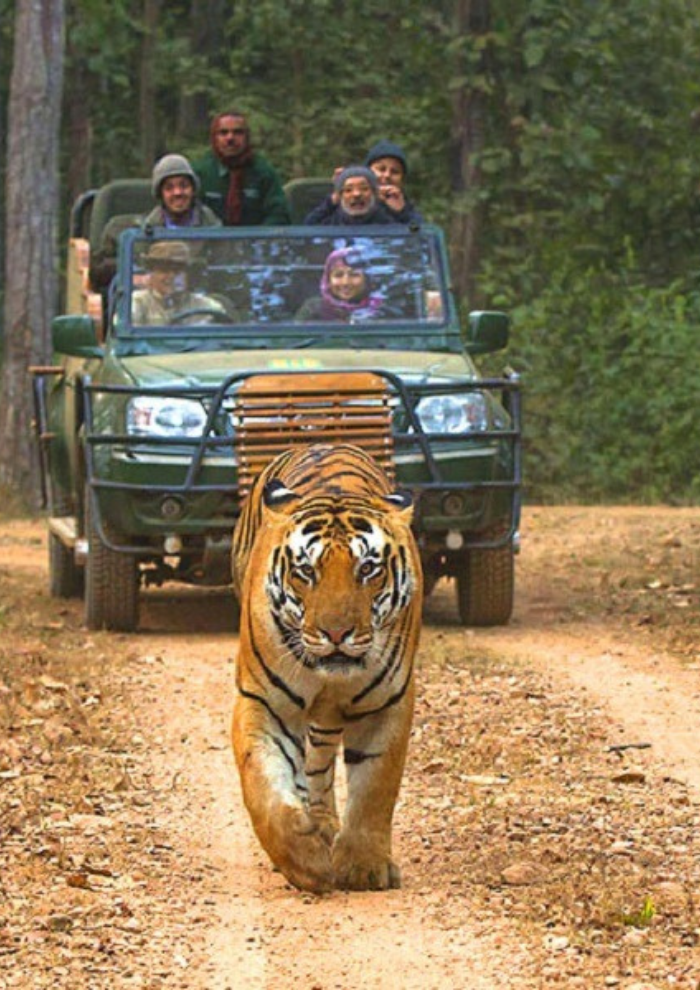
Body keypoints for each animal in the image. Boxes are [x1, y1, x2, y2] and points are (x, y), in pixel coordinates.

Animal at [230, 443, 423, 893]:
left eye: (367, 569)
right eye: (306, 571)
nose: (336, 633)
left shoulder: (387, 705)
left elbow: (375, 788)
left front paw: (364, 867)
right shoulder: (262, 702)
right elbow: (262, 783)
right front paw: (304, 860)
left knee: (319, 764)